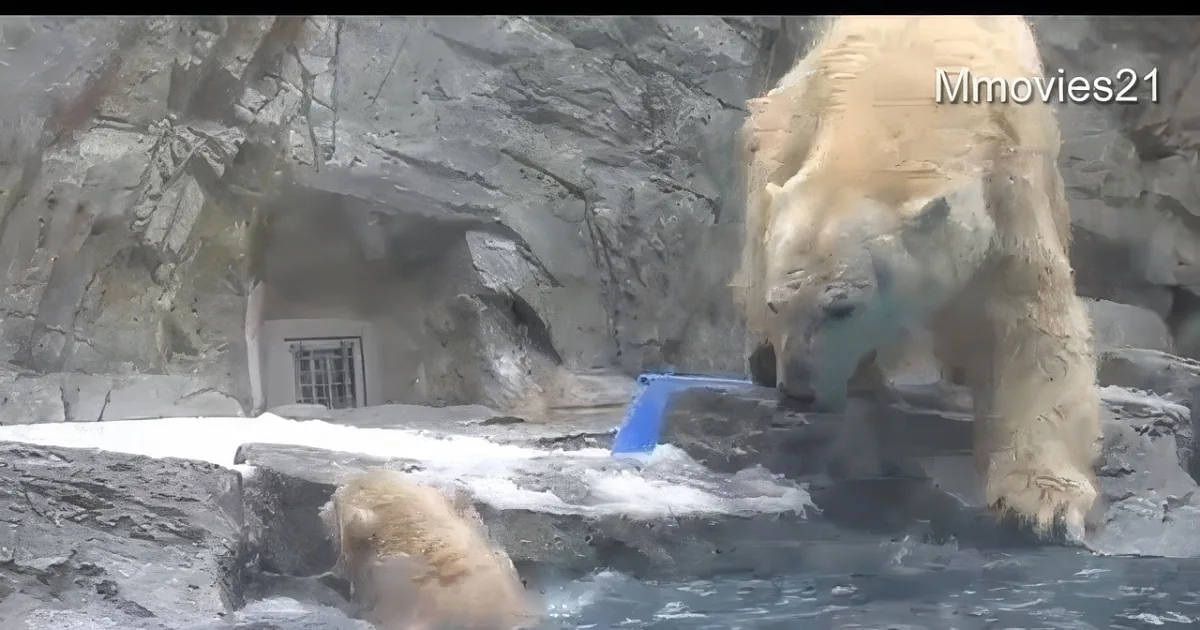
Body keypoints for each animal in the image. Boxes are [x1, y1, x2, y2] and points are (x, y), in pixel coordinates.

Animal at [731, 15, 1101, 537]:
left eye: (843, 307)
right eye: (775, 303)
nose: (799, 391)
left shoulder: (1009, 183)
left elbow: (1033, 323)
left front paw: (1044, 503)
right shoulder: (790, 130)